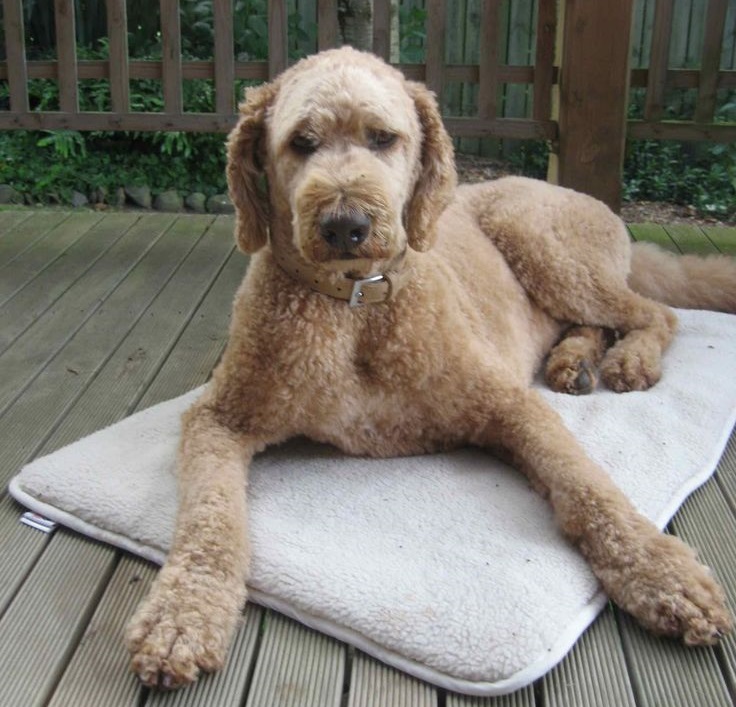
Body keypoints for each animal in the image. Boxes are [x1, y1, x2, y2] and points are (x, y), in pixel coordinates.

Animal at [126, 47, 736, 688]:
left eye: (383, 137)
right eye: (302, 142)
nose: (345, 225)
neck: (353, 308)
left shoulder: (506, 402)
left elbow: (587, 485)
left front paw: (659, 572)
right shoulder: (219, 418)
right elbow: (209, 522)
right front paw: (180, 618)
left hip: (543, 245)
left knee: (658, 312)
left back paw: (628, 359)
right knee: (599, 321)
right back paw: (574, 361)